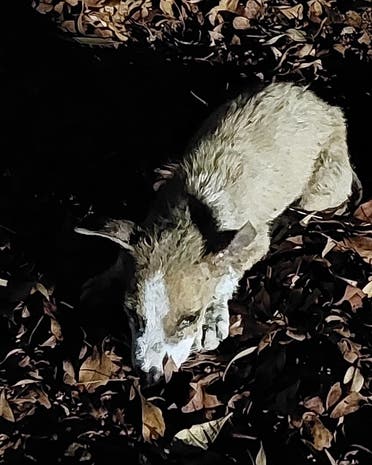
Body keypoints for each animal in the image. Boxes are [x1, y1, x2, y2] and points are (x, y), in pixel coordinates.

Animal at [75, 81, 354, 378]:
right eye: (132, 313)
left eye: (190, 318)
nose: (151, 374)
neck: (193, 212)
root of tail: (325, 105)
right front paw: (105, 281)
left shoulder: (254, 242)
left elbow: (226, 275)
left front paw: (212, 318)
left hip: (320, 191)